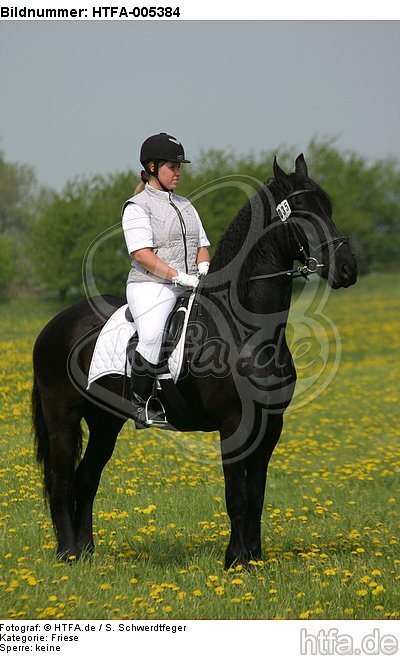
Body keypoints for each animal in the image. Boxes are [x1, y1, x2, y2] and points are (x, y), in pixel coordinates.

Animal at [32, 154, 357, 567]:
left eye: (327, 207)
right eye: (300, 211)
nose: (347, 269)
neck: (244, 330)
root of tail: (54, 326)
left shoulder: (270, 425)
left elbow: (256, 494)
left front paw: (254, 557)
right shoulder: (234, 424)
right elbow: (237, 496)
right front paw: (235, 561)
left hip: (106, 421)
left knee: (86, 478)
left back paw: (87, 552)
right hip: (63, 418)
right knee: (61, 481)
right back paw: (68, 555)